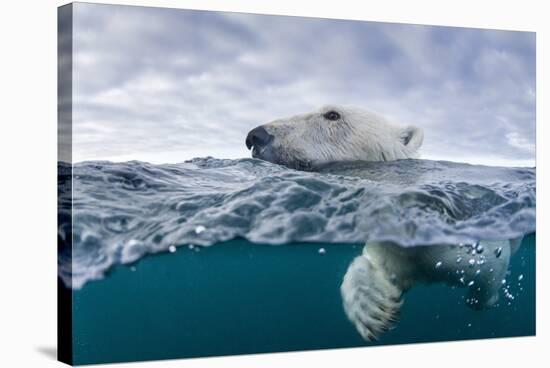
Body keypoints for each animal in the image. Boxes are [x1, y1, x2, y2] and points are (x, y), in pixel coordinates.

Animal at [246, 105, 520, 340]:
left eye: (332, 114)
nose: (255, 136)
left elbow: (491, 266)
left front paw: (479, 300)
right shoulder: (393, 249)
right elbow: (376, 268)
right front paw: (373, 309)